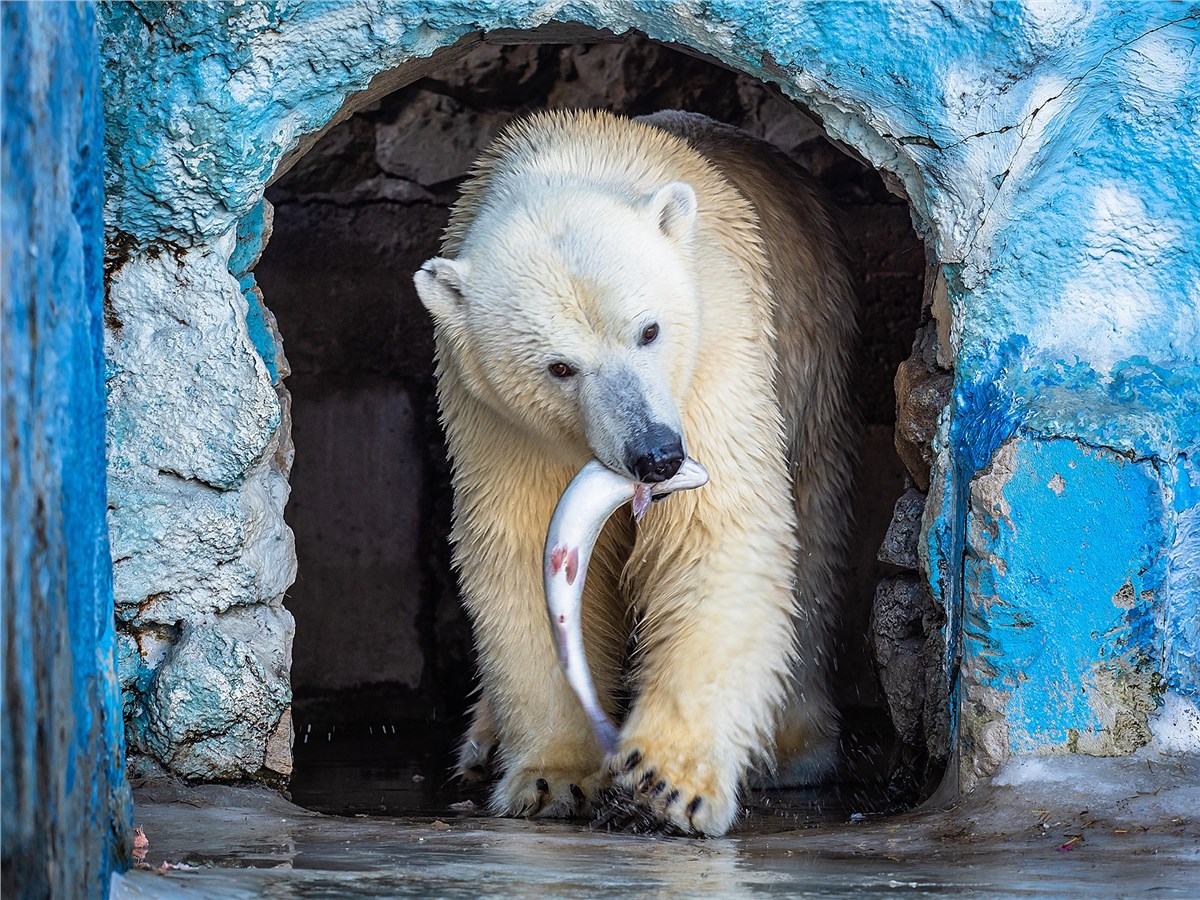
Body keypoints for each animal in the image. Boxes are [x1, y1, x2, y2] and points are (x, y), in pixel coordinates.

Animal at [412, 111, 854, 840]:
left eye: (649, 330)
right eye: (560, 366)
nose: (656, 455)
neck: (572, 155)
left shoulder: (715, 354)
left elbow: (715, 534)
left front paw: (668, 782)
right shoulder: (496, 413)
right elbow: (522, 554)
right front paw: (553, 777)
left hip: (814, 359)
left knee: (813, 537)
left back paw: (794, 746)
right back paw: (480, 744)